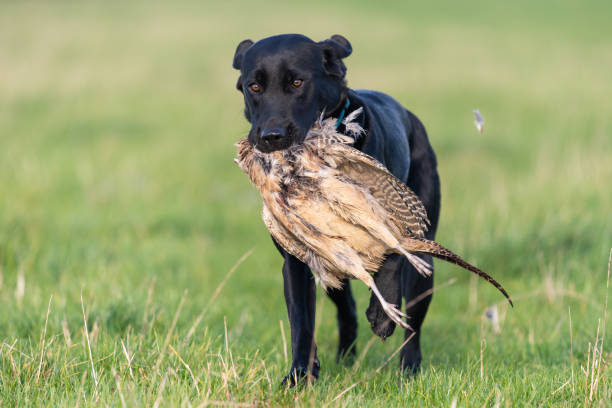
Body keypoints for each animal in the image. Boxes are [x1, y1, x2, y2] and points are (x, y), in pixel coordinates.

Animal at [231, 32, 440, 386]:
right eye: (254, 86)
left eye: (297, 82)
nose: (271, 136)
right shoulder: (300, 260)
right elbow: (302, 321)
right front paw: (300, 376)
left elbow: (392, 257)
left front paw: (382, 317)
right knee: (347, 309)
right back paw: (346, 358)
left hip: (423, 258)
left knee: (412, 326)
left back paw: (408, 369)